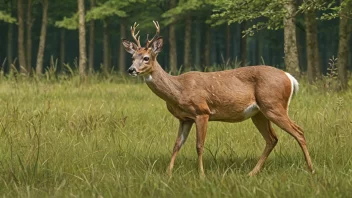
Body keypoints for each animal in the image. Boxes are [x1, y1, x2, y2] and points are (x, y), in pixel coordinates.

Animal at [121, 21, 314, 176]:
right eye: (132, 57)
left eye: (146, 58)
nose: (131, 69)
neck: (179, 90)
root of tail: (289, 78)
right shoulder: (185, 118)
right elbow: (177, 144)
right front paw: (168, 173)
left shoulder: (202, 112)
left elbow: (199, 145)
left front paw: (201, 174)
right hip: (259, 113)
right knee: (272, 138)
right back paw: (252, 173)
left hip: (274, 105)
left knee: (299, 131)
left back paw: (311, 169)